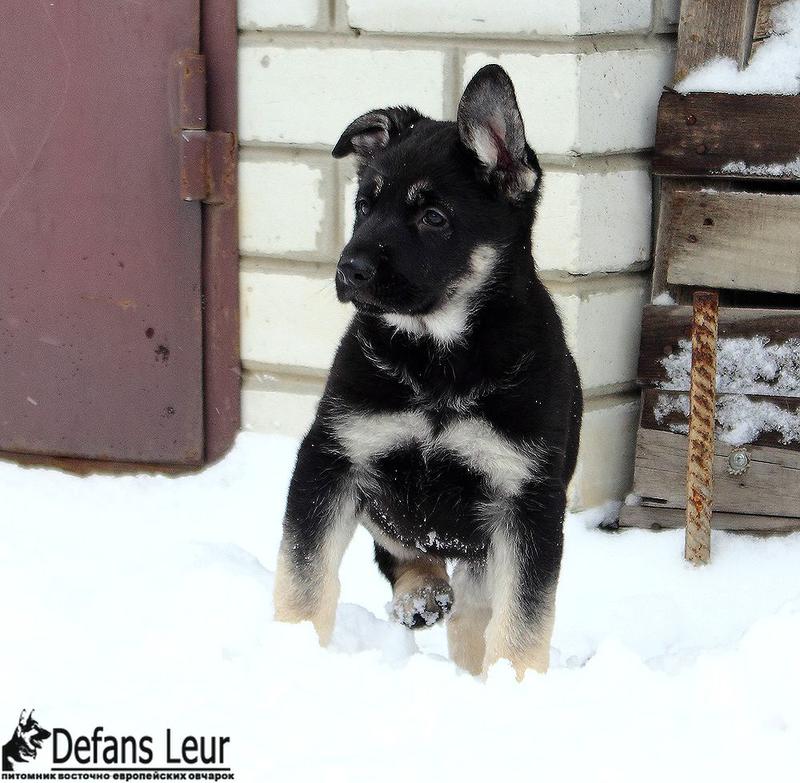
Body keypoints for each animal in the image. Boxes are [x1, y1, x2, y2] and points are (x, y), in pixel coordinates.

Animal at [276, 66, 580, 680]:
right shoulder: (332, 456)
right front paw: (290, 647)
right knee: (404, 552)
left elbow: (525, 613)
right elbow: (304, 572)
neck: (440, 361)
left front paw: (517, 682)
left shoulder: (527, 498)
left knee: (474, 609)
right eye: (364, 205)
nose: (348, 269)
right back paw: (422, 593)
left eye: (433, 218)